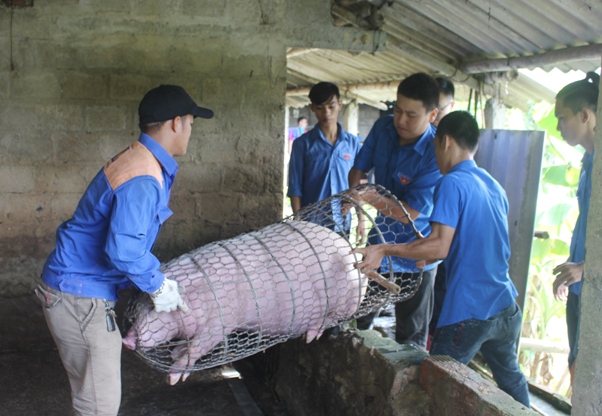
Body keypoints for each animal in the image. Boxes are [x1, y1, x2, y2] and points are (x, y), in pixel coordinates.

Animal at [122, 219, 366, 386]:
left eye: (155, 308)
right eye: (140, 305)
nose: (126, 340)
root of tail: (353, 253)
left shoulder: (220, 323)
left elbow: (199, 347)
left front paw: (173, 378)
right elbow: (188, 345)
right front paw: (175, 352)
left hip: (347, 295)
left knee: (335, 318)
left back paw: (311, 335)